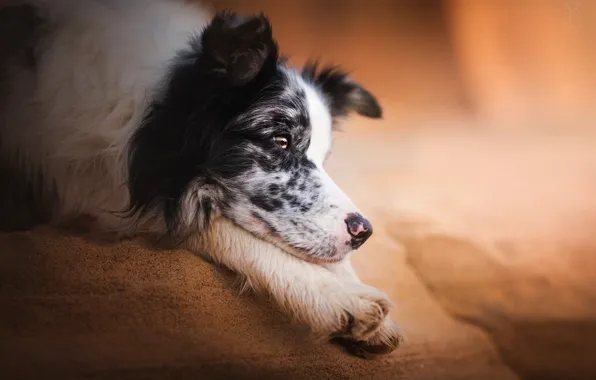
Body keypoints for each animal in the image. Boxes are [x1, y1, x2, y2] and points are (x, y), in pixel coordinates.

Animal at [0, 0, 402, 356]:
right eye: (281, 140)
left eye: (323, 157)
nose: (363, 231)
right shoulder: (97, 191)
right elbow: (224, 229)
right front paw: (342, 299)